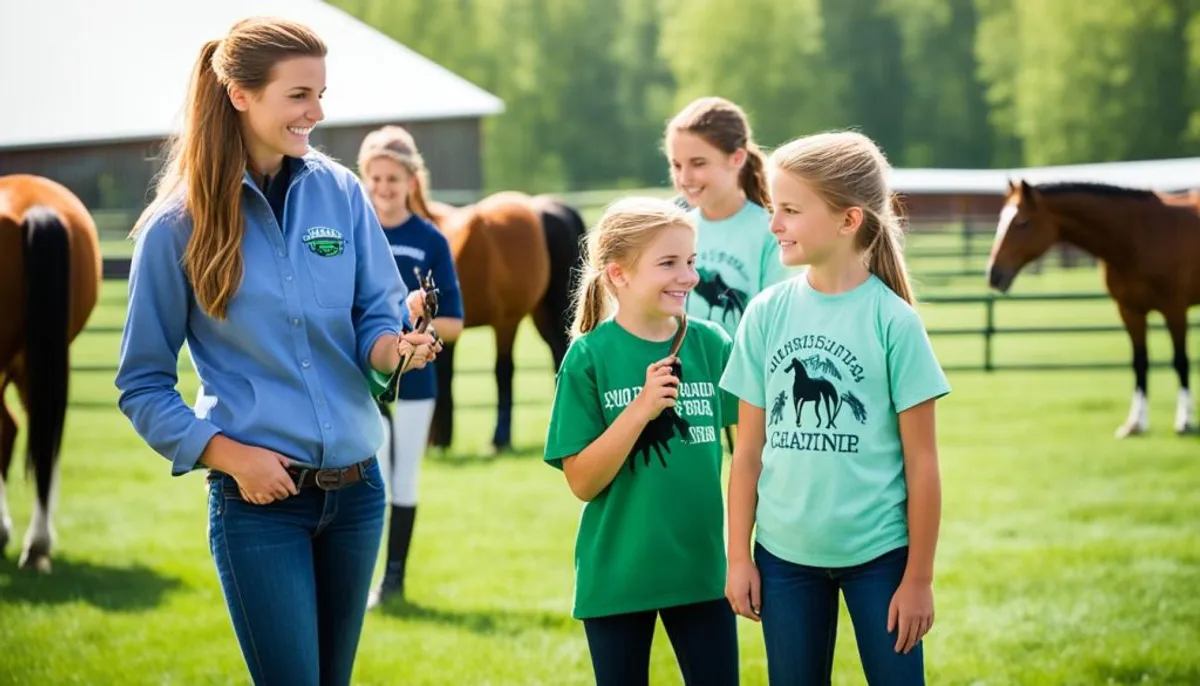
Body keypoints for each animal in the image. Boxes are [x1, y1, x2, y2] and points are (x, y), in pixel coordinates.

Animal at [988, 179, 1200, 436]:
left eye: (1022, 222)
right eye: (1001, 219)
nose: (993, 274)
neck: (1137, 235)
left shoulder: (1175, 310)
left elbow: (1181, 362)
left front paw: (1184, 421)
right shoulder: (1130, 312)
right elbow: (1139, 363)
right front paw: (1134, 424)